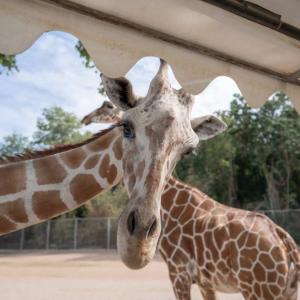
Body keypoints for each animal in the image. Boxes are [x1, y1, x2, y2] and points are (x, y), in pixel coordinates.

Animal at [82, 100, 300, 298]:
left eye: (107, 106)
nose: (85, 119)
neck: (170, 203)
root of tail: (286, 242)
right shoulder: (205, 281)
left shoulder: (178, 271)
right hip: (285, 292)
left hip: (259, 290)